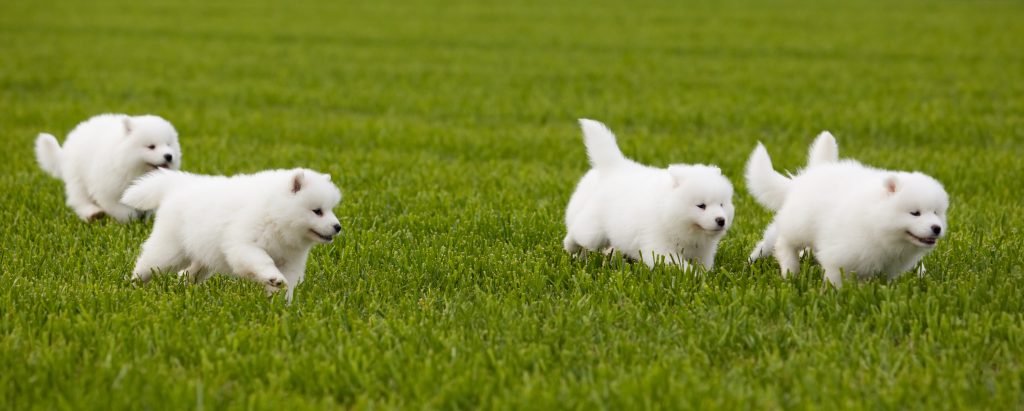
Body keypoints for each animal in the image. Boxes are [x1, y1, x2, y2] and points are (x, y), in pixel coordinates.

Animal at [33, 113, 182, 222]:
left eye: (169, 144)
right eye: (151, 146)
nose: (169, 156)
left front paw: (148, 217)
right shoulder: (107, 191)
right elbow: (121, 209)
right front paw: (132, 218)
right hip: (77, 178)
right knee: (78, 198)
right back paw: (92, 213)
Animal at [121, 166, 342, 301]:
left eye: (331, 209)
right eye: (317, 211)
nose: (337, 227)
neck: (274, 213)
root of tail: (178, 186)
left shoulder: (290, 259)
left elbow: (288, 279)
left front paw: (280, 302)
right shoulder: (243, 244)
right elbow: (262, 260)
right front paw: (273, 278)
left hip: (203, 255)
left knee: (188, 272)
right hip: (170, 249)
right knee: (148, 263)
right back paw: (133, 284)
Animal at [561, 119, 737, 268]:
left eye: (722, 204)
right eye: (701, 205)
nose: (721, 220)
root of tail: (615, 167)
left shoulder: (703, 252)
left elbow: (702, 266)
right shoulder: (659, 245)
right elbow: (679, 266)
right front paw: (693, 277)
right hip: (594, 229)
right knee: (579, 234)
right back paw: (570, 247)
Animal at [745, 131, 950, 284]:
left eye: (936, 213)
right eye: (915, 213)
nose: (936, 228)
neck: (876, 219)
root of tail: (812, 172)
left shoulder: (886, 268)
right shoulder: (840, 255)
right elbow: (835, 279)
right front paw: (833, 297)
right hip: (799, 224)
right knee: (784, 243)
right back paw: (790, 271)